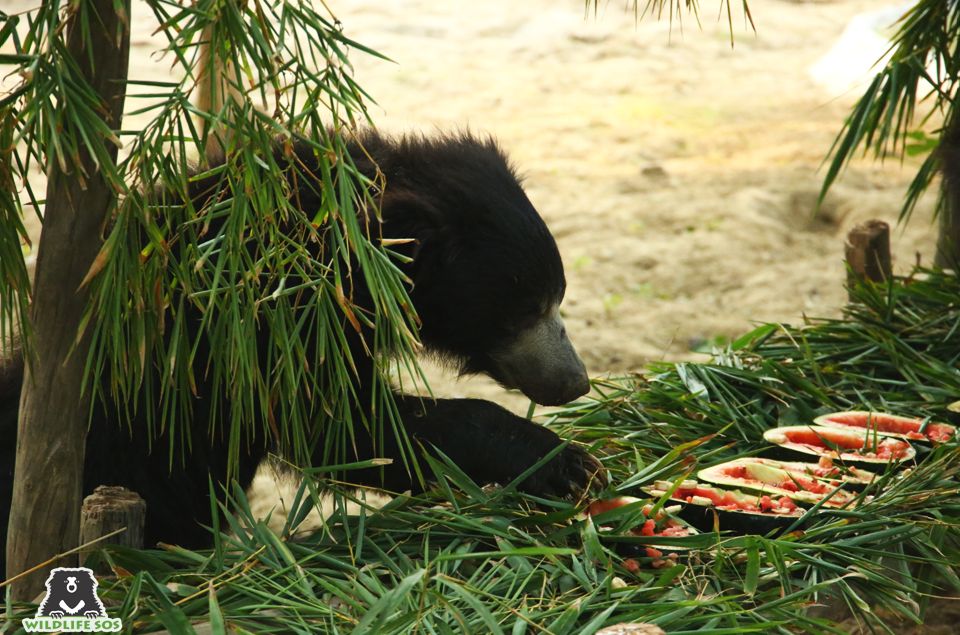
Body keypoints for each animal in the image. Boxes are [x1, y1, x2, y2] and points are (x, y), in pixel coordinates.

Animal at [0, 129, 600, 568]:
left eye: (558, 296)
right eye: (525, 310)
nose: (575, 382)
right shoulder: (263, 325)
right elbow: (345, 428)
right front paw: (566, 462)